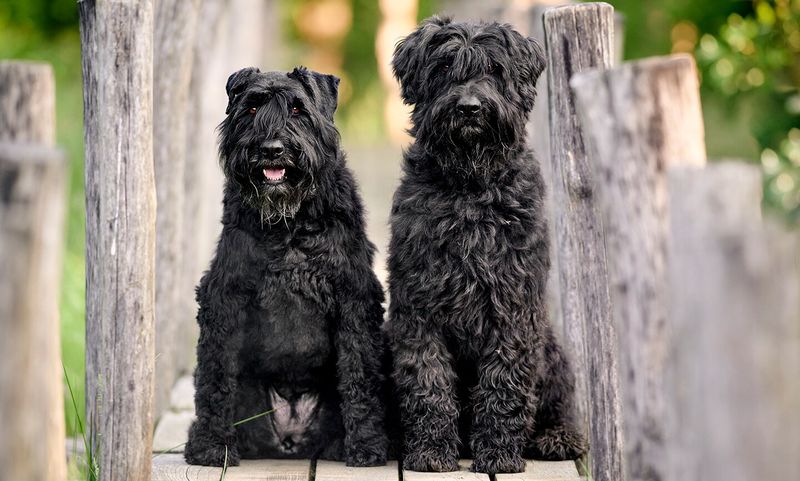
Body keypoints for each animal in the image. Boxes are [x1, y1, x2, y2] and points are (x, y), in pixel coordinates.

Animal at [185, 65, 390, 466]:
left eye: (297, 108)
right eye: (251, 107)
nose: (271, 149)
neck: (289, 222)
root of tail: (291, 435)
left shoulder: (354, 298)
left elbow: (359, 372)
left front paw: (367, 446)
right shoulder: (225, 297)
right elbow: (216, 375)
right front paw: (210, 446)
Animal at [388, 16, 588, 474]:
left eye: (495, 69)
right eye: (445, 66)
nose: (470, 108)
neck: (470, 187)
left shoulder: (512, 305)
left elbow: (504, 379)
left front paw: (498, 453)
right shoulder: (418, 305)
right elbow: (427, 377)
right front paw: (431, 451)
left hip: (552, 349)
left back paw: (557, 438)